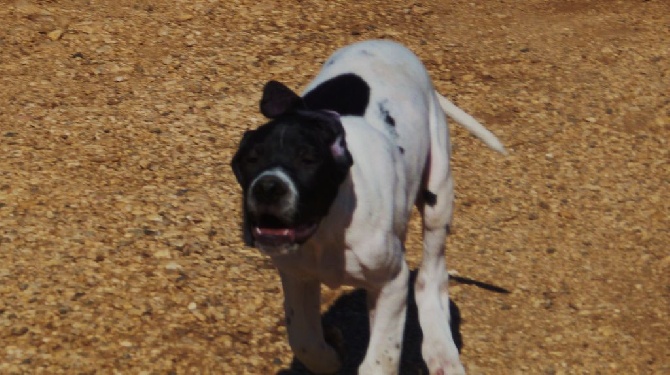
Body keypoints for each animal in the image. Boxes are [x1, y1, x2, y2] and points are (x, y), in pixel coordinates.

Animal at [232, 39, 510, 374]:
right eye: (249, 159)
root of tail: (388, 43)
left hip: (438, 194)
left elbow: (380, 360)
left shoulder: (392, 283)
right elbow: (303, 339)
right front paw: (330, 355)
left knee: (431, 275)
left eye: (309, 160)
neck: (327, 230)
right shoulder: (297, 276)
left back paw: (440, 350)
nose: (268, 187)